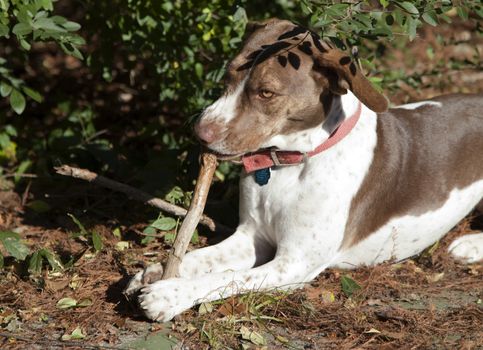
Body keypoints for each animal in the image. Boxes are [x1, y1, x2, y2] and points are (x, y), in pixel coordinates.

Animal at [126, 18, 483, 320]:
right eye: (227, 77)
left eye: (266, 92)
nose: (200, 132)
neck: (292, 162)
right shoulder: (252, 236)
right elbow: (203, 259)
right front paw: (153, 272)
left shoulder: (294, 264)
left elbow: (228, 279)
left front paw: (169, 294)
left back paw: (468, 246)